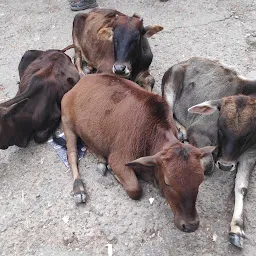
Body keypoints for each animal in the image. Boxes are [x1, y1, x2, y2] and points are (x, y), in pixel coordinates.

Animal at [61, 73, 215, 233]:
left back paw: (101, 160)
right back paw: (79, 189)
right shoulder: (118, 159)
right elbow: (135, 189)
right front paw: (113, 172)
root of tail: (82, 80)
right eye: (168, 182)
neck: (150, 134)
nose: (191, 225)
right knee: (72, 155)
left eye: (200, 181)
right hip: (66, 121)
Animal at [162, 56, 256, 248]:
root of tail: (186, 61)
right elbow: (208, 165)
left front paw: (237, 229)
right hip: (169, 86)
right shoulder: (198, 132)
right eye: (220, 127)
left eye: (248, 134)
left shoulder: (251, 154)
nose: (226, 165)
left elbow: (242, 187)